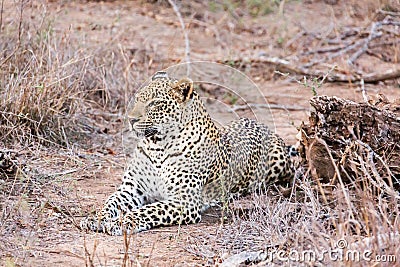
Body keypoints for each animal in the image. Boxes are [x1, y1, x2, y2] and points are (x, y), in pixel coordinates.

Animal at [80, 71, 294, 237]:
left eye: (155, 104)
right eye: (139, 98)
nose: (131, 119)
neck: (157, 146)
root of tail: (265, 127)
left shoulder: (184, 200)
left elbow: (147, 210)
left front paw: (121, 222)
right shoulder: (132, 188)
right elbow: (110, 203)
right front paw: (97, 218)